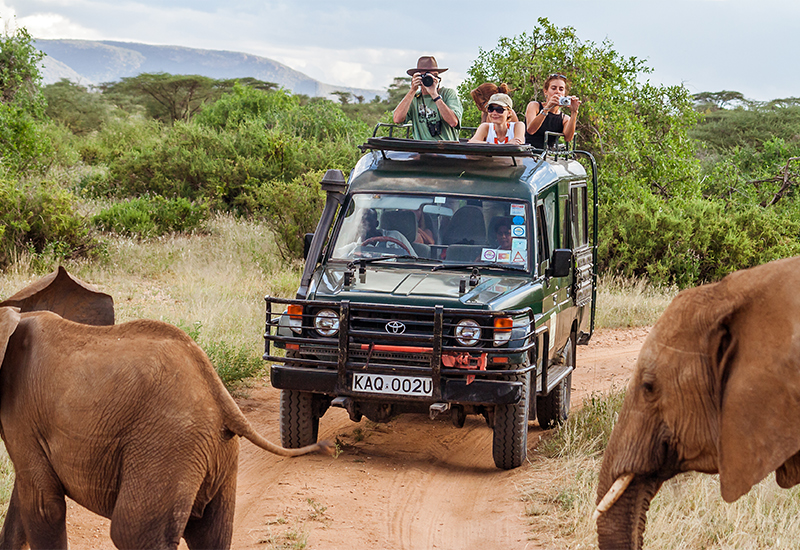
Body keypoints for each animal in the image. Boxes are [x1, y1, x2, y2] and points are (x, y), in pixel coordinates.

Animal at [0, 266, 332, 548]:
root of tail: (220, 396)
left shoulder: (24, 414)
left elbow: (43, 506)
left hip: (167, 446)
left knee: (131, 532)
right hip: (213, 453)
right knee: (211, 535)